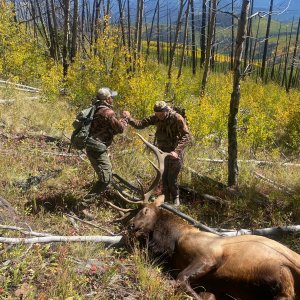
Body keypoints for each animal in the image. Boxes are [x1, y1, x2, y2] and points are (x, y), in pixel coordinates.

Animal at [129, 196, 300, 298]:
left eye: (145, 210)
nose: (131, 225)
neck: (173, 241)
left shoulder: (208, 257)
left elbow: (181, 279)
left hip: (283, 274)